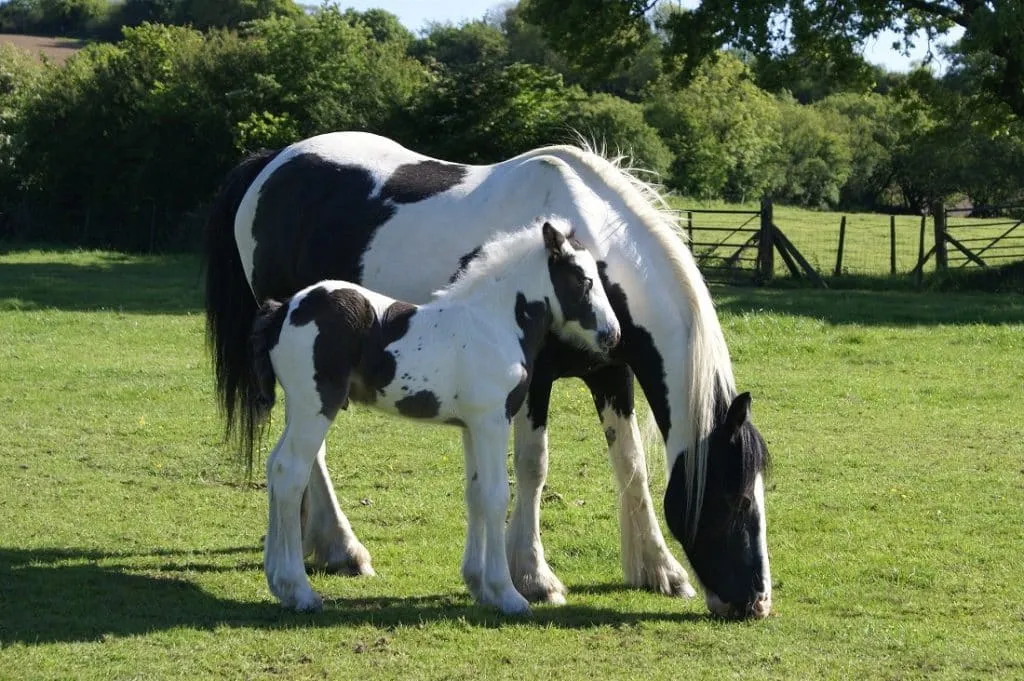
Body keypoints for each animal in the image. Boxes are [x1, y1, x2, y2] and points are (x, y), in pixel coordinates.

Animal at [247, 220, 622, 613]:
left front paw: (480, 586)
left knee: (274, 466)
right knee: (290, 472)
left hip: (298, 405)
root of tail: (284, 309)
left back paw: (278, 581)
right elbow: (495, 496)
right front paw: (507, 594)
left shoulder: (471, 427)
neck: (494, 324)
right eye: (582, 280)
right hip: (315, 406)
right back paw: (299, 590)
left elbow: (475, 494)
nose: (612, 335)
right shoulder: (492, 420)